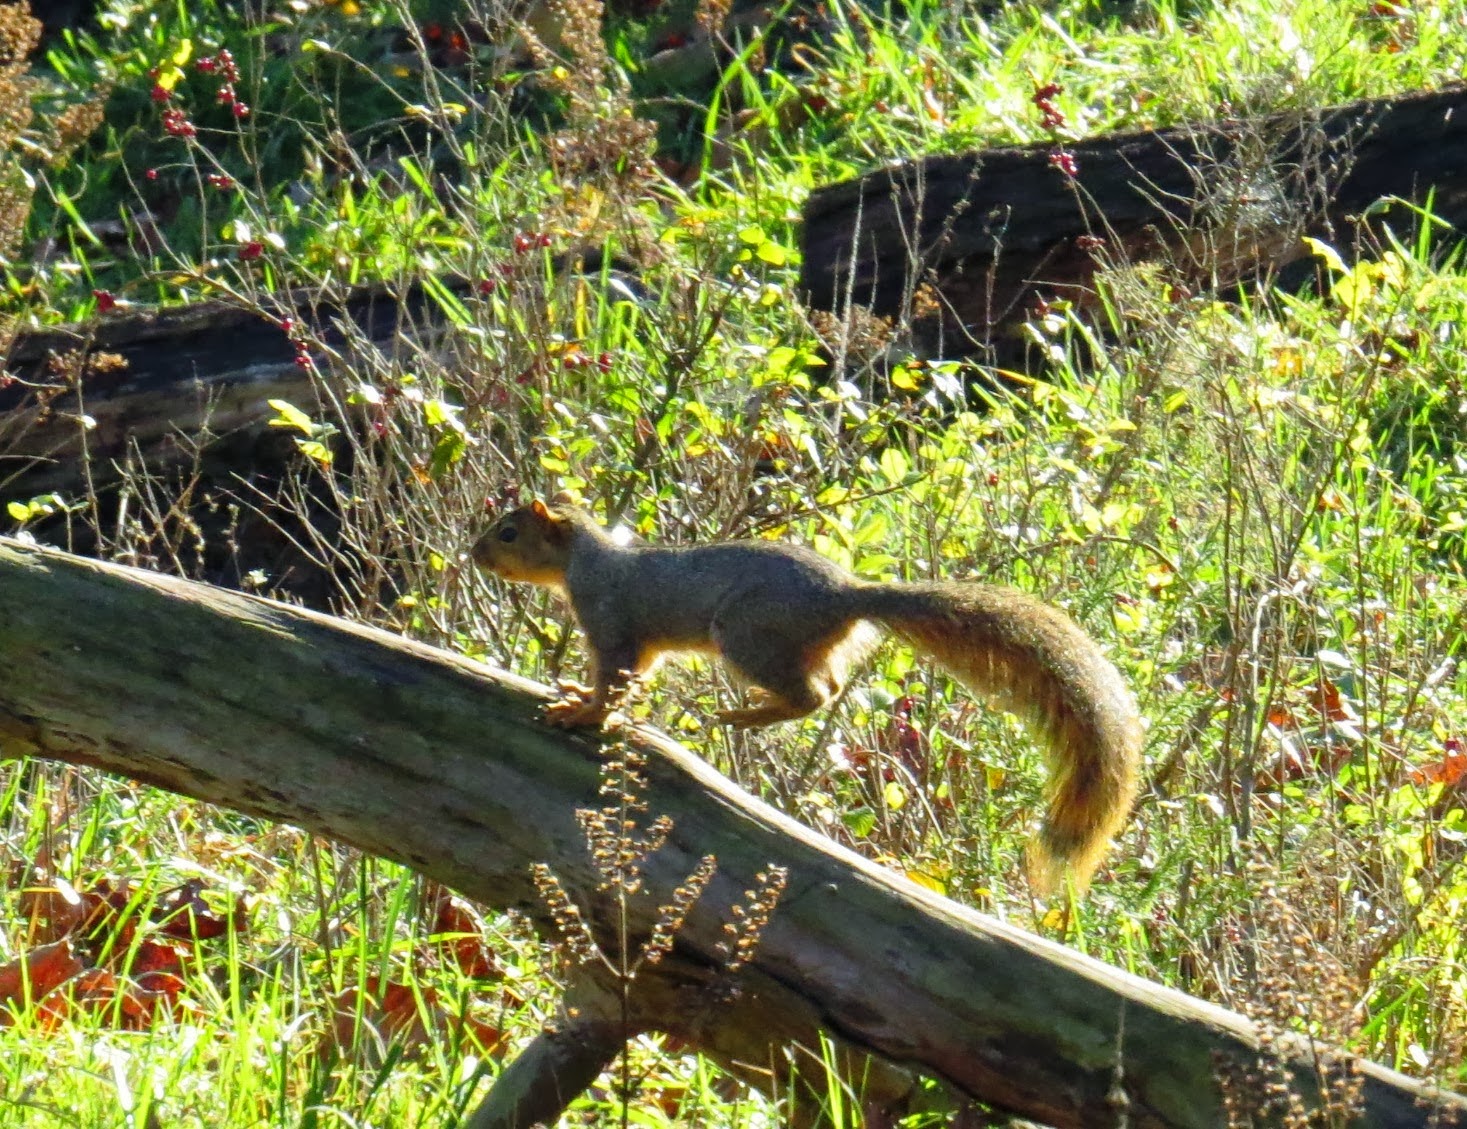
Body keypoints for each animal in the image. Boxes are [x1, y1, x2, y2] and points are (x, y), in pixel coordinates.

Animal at [472, 496, 1142, 892]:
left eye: (508, 532)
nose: (474, 553)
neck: (584, 562)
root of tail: (844, 597)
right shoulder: (646, 647)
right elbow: (632, 682)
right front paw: (575, 692)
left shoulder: (613, 625)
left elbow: (612, 685)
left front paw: (580, 711)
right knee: (832, 684)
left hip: (746, 636)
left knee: (816, 695)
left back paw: (746, 713)